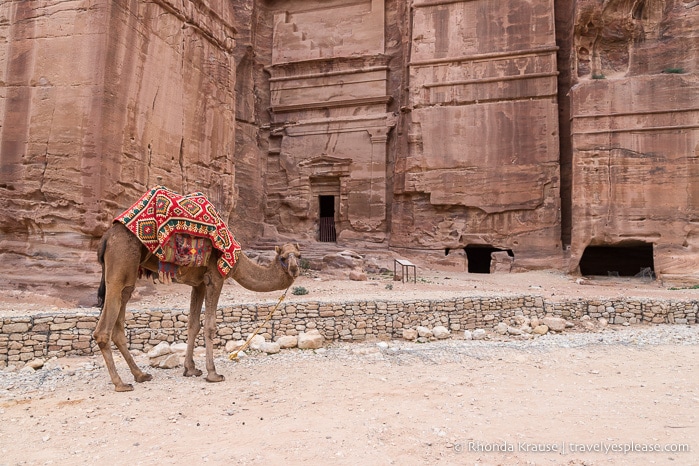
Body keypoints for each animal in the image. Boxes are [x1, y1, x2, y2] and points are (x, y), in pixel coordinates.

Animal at [94, 224, 300, 392]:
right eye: (283, 257)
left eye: (298, 255)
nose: (295, 269)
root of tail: (106, 237)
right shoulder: (215, 278)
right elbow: (209, 325)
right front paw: (213, 374)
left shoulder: (199, 283)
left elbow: (193, 325)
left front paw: (190, 369)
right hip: (120, 263)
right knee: (103, 330)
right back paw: (120, 383)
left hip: (128, 276)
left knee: (119, 324)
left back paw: (141, 375)